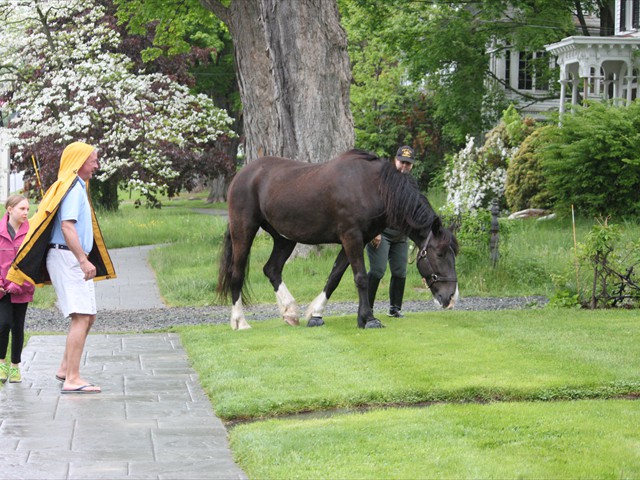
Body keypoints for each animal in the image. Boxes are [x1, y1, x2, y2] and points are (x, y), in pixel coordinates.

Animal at [217, 149, 458, 330]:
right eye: (439, 254)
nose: (451, 298)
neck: (372, 186)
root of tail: (244, 173)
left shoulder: (355, 240)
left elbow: (334, 277)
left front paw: (316, 313)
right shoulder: (352, 237)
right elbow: (361, 278)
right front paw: (369, 319)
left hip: (284, 238)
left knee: (272, 269)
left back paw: (290, 312)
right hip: (244, 230)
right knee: (237, 273)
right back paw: (239, 321)